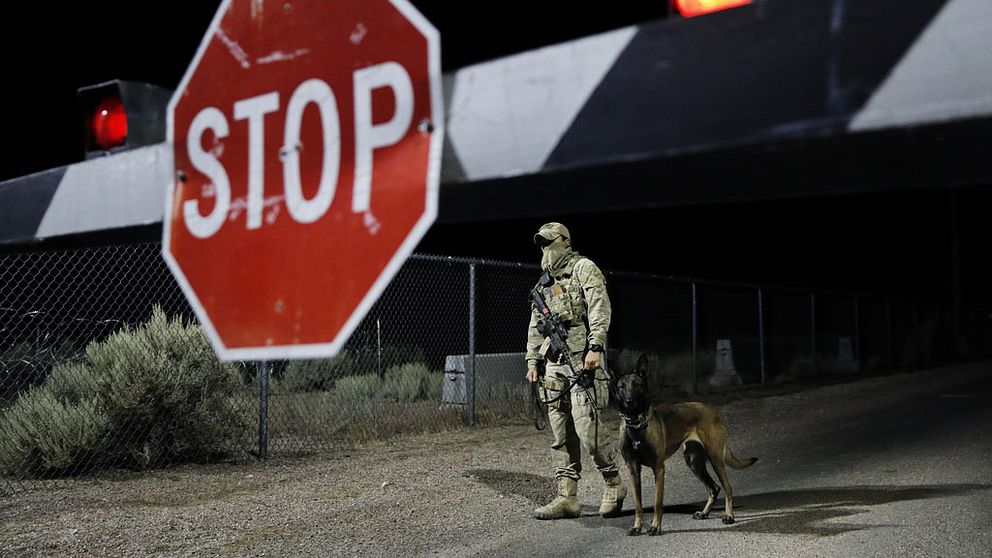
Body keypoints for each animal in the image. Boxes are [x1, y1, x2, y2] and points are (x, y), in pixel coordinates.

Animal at [608, 354, 756, 540]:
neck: (636, 425)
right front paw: (637, 527)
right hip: (694, 462)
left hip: (715, 458)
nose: (629, 401)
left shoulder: (659, 468)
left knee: (727, 487)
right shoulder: (633, 470)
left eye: (636, 384)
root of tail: (712, 410)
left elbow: (657, 503)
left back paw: (729, 516)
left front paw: (655, 527)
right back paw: (704, 513)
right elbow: (638, 505)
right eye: (621, 387)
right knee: (714, 488)